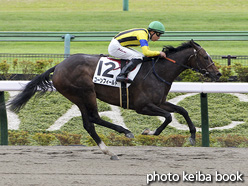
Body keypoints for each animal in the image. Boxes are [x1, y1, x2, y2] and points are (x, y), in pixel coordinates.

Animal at [9, 40, 221, 159]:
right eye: (205, 56)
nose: (217, 74)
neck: (157, 72)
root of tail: (59, 65)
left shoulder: (159, 102)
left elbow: (182, 111)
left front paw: (192, 136)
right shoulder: (143, 106)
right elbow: (169, 117)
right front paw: (149, 132)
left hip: (77, 97)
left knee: (89, 123)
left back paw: (109, 150)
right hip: (84, 93)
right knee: (94, 118)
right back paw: (124, 133)